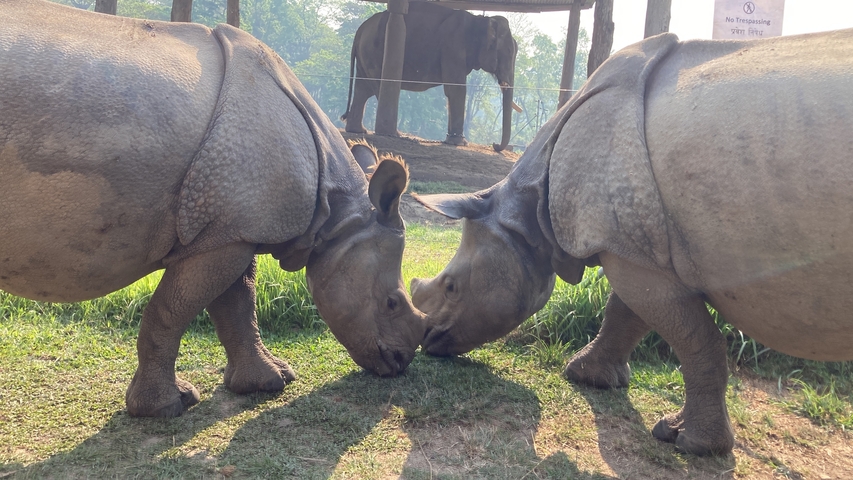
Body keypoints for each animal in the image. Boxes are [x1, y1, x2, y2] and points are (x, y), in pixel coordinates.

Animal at [0, 0, 425, 418]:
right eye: (391, 303)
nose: (400, 362)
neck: (336, 218)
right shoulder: (226, 233)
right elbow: (172, 311)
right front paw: (166, 408)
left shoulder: (233, 227)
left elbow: (237, 303)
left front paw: (270, 382)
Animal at [341, 2, 518, 151]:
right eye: (508, 53)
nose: (494, 145)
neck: (480, 20)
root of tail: (361, 29)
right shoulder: (453, 45)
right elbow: (456, 89)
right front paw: (460, 143)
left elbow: (452, 91)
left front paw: (452, 141)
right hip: (373, 52)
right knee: (375, 88)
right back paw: (394, 134)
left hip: (366, 55)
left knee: (363, 89)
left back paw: (358, 131)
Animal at [410, 30, 853, 456]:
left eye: (452, 287)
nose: (426, 341)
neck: (525, 215)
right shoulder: (634, 247)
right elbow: (626, 313)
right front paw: (587, 377)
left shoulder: (630, 250)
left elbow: (694, 338)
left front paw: (691, 445)